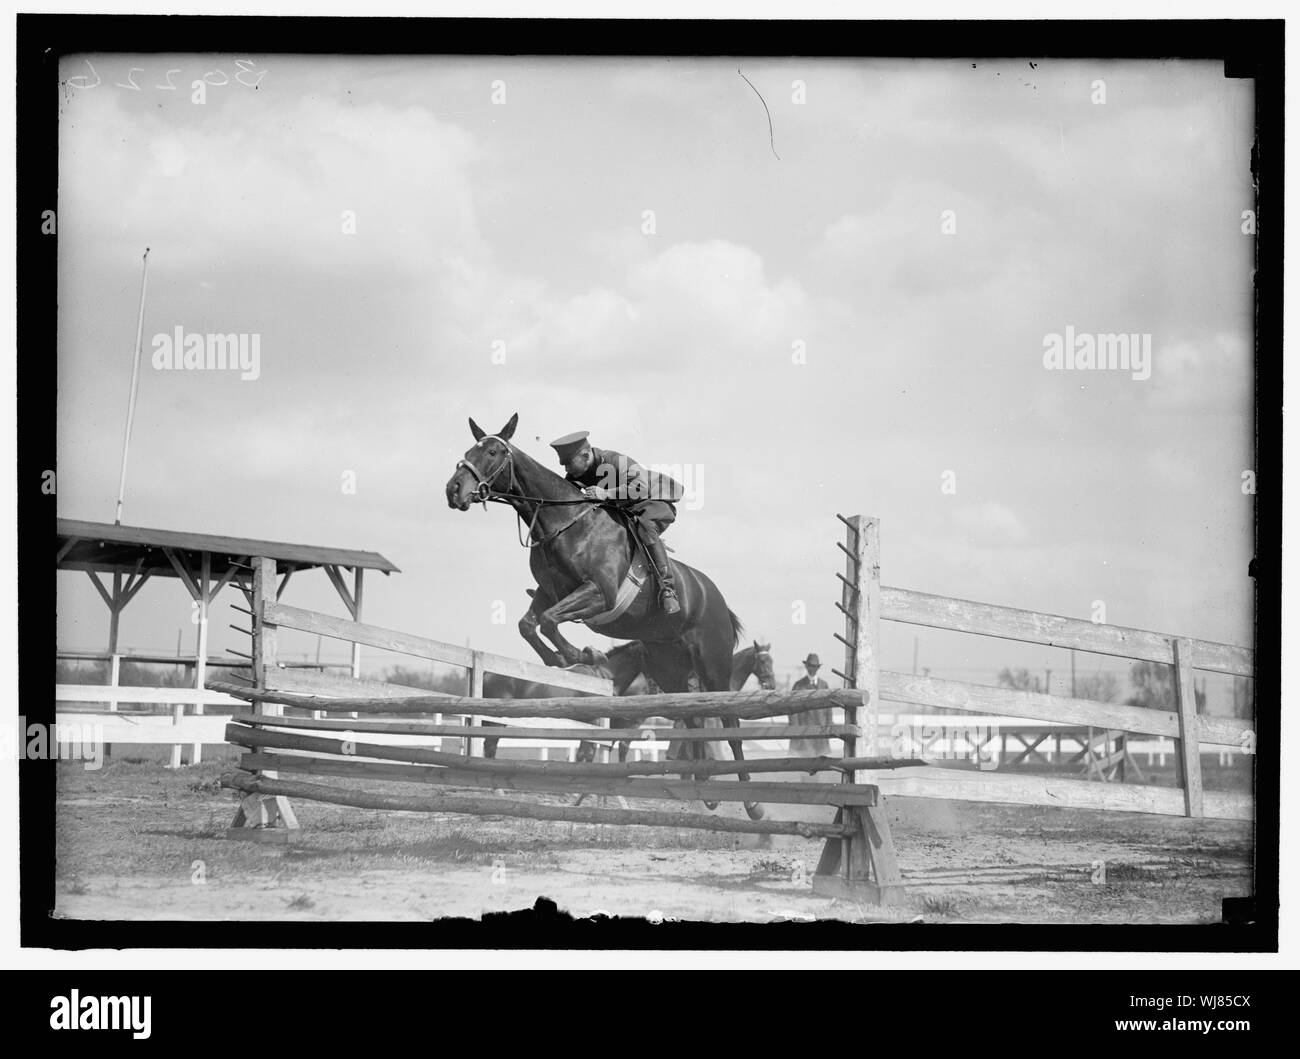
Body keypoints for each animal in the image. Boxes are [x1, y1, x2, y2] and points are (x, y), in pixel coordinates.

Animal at [445, 413, 763, 819]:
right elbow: (530, 623)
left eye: (493, 452)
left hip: (712, 662)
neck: (564, 523)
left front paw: (577, 655)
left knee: (728, 720)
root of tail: (717, 598)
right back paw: (704, 788)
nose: (454, 490)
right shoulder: (550, 593)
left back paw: (752, 802)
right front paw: (561, 658)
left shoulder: (599, 593)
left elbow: (549, 621)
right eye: (469, 450)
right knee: (692, 718)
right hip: (667, 664)